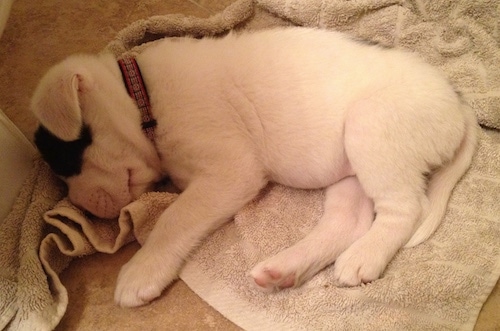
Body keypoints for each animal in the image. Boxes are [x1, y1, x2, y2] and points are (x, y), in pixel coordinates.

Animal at [30, 27, 476, 308]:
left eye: (67, 157)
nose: (80, 209)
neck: (144, 98)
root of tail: (459, 104)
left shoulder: (230, 171)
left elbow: (173, 218)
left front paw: (142, 271)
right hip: (350, 168)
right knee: (347, 223)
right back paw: (286, 269)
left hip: (373, 128)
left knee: (405, 208)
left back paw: (366, 257)